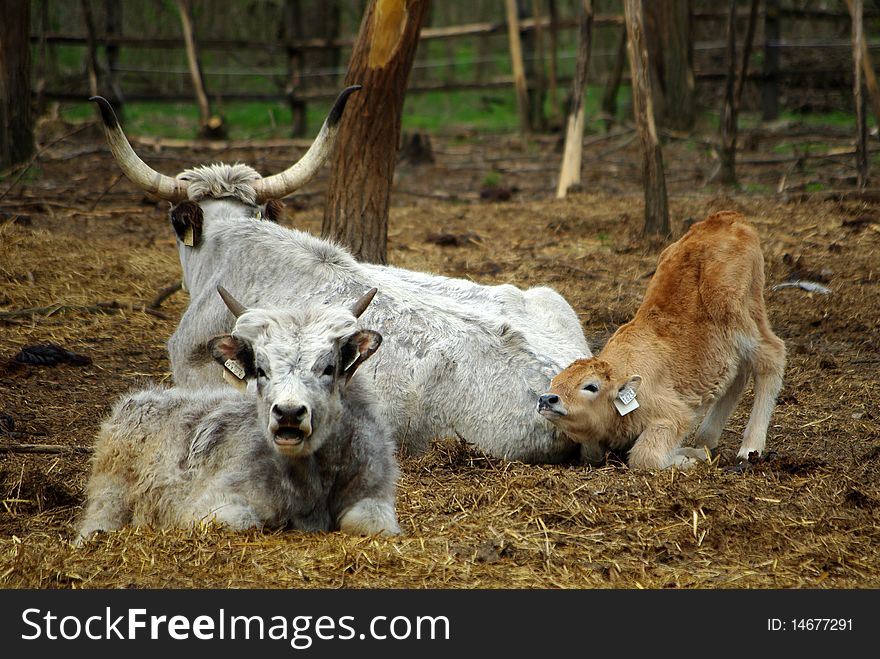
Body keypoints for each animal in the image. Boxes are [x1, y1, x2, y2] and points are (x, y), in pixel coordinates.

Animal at [75, 288, 398, 548]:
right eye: (262, 370)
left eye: (329, 368)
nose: (289, 412)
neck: (312, 479)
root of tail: (137, 401)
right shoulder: (213, 507)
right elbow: (245, 522)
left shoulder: (376, 498)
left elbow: (369, 523)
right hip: (109, 499)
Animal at [540, 211, 788, 470]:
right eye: (554, 382)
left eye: (591, 386)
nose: (547, 399)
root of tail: (726, 217)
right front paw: (693, 452)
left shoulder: (674, 415)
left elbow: (645, 455)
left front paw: (688, 458)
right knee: (739, 371)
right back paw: (706, 439)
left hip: (738, 315)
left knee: (771, 355)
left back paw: (749, 448)